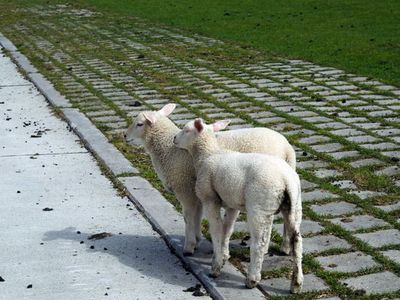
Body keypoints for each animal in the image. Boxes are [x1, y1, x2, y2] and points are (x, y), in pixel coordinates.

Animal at [125, 103, 296, 255]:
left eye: (139, 124)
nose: (125, 136)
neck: (167, 148)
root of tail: (287, 148)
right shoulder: (196, 189)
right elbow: (197, 215)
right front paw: (198, 238)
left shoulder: (184, 187)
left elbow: (188, 216)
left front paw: (189, 246)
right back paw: (285, 247)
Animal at [173, 118, 302, 292]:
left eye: (186, 130)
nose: (174, 138)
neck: (208, 154)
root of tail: (285, 179)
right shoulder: (232, 203)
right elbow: (227, 229)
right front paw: (223, 255)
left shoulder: (209, 199)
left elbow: (216, 230)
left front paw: (216, 266)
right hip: (294, 206)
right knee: (297, 241)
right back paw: (296, 283)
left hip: (259, 206)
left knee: (259, 243)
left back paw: (252, 279)